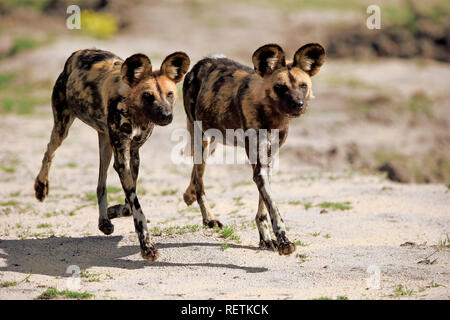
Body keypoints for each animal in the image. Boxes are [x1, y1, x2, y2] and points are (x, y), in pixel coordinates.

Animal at [34, 48, 190, 262]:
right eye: (148, 96)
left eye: (170, 94)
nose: (167, 116)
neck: (135, 110)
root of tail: (77, 53)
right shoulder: (122, 159)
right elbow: (137, 208)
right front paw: (147, 247)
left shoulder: (133, 155)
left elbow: (129, 204)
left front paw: (113, 211)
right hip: (62, 128)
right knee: (49, 151)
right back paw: (41, 187)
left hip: (106, 144)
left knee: (101, 184)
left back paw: (104, 221)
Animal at [181, 43, 326, 256]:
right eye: (280, 87)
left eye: (303, 85)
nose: (298, 104)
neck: (273, 117)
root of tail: (205, 60)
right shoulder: (260, 168)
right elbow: (274, 209)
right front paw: (284, 242)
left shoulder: (269, 162)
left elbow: (263, 208)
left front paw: (265, 239)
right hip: (203, 140)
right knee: (200, 181)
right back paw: (209, 218)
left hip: (213, 142)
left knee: (196, 173)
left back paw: (188, 195)